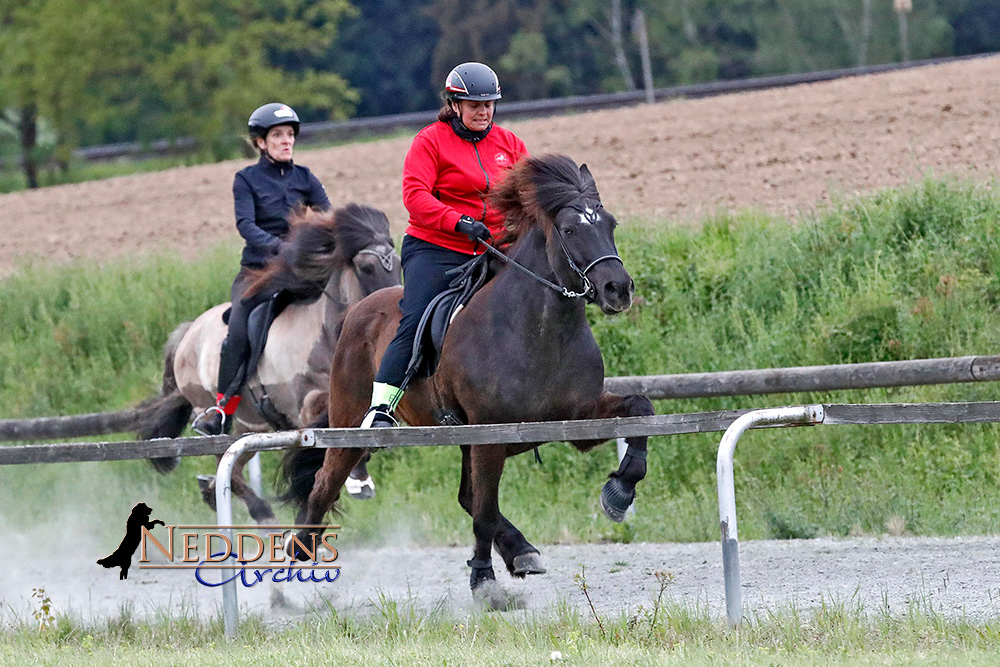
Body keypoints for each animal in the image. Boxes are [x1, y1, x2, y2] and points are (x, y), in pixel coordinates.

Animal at [138, 204, 402, 528]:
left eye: (398, 263)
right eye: (366, 268)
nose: (395, 304)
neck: (326, 335)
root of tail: (188, 332)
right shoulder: (307, 402)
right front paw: (357, 480)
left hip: (248, 426)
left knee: (231, 469)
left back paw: (212, 491)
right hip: (210, 410)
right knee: (226, 462)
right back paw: (262, 513)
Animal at [280, 158, 656, 612]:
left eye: (610, 223)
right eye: (569, 230)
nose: (618, 289)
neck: (539, 330)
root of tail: (355, 311)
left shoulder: (578, 419)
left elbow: (641, 409)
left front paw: (619, 492)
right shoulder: (489, 437)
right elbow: (484, 512)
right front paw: (485, 583)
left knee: (464, 495)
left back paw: (521, 550)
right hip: (351, 426)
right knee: (323, 487)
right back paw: (294, 572)